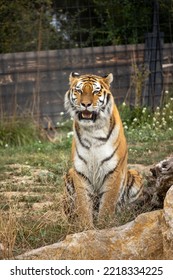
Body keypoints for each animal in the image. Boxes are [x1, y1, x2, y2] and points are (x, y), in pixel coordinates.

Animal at [62, 72, 143, 230]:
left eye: (96, 91)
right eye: (79, 91)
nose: (85, 104)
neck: (92, 130)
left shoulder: (114, 171)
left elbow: (107, 204)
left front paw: (104, 227)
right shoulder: (80, 171)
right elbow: (83, 205)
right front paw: (86, 228)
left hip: (136, 177)